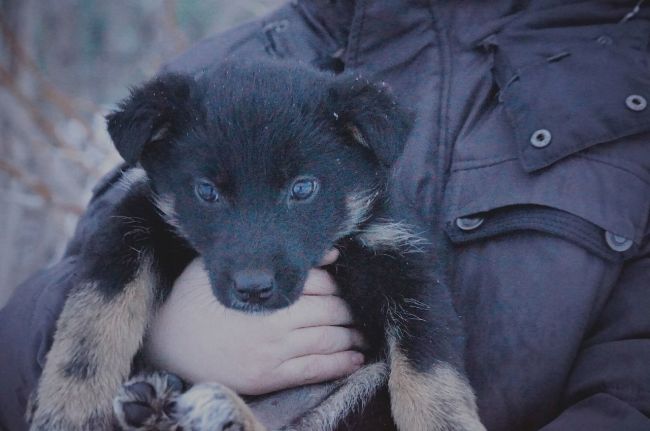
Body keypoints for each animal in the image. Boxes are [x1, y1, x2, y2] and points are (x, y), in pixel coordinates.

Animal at [27, 60, 484, 431]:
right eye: (206, 191)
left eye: (303, 188)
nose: (253, 289)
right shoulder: (131, 225)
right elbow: (91, 325)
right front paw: (69, 408)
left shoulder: (402, 263)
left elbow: (429, 371)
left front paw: (447, 422)